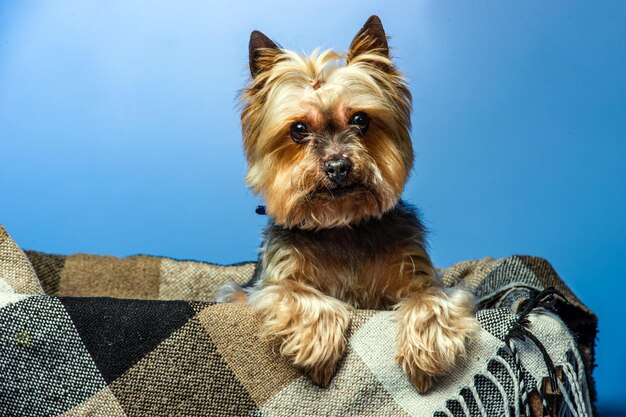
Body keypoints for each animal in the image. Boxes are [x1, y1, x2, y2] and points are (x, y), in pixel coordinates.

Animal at [217, 15, 476, 394]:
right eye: (298, 129)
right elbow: (297, 293)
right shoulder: (272, 282)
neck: (341, 225)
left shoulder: (421, 275)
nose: (338, 166)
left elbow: (430, 299)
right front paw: (317, 345)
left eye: (360, 120)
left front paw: (426, 352)